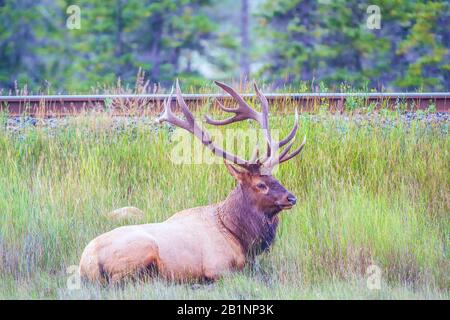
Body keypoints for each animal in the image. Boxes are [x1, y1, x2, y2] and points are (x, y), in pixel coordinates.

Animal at [80, 81, 306, 284]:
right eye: (260, 184)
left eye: (276, 178)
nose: (291, 198)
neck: (237, 235)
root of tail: (86, 263)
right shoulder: (217, 266)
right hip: (141, 249)